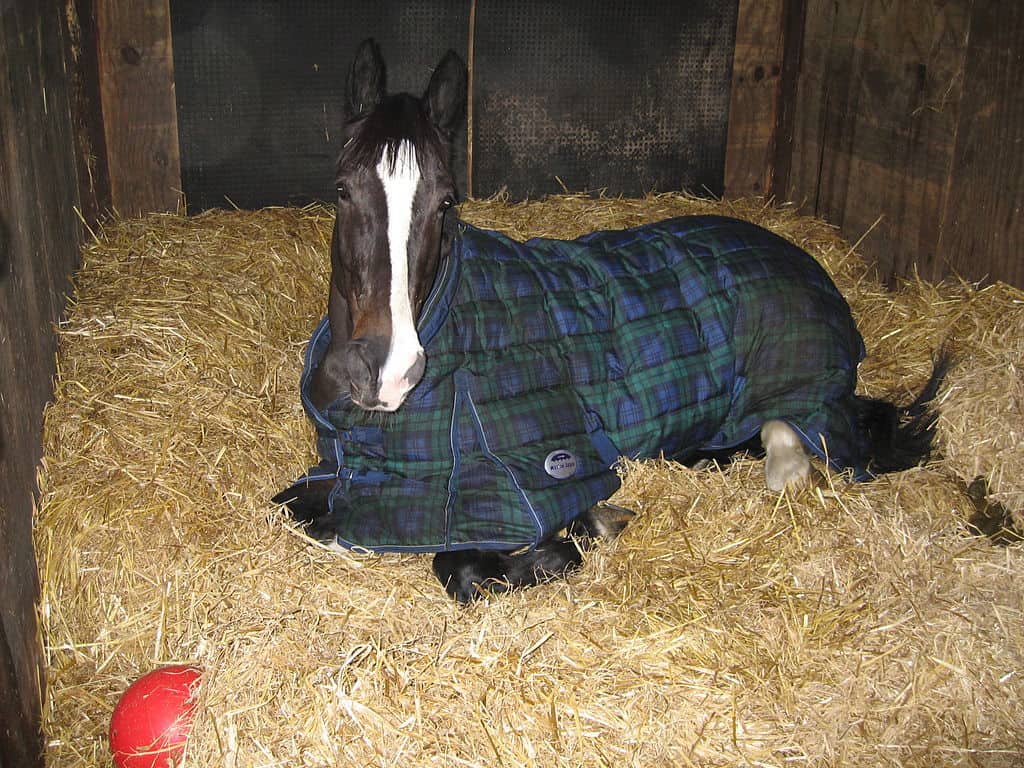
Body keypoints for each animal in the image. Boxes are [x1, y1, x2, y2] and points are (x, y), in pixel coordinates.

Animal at [273, 39, 948, 603]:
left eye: (446, 202)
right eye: (342, 190)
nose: (385, 372)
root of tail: (804, 259)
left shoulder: (529, 483)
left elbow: (461, 567)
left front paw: (583, 531)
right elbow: (291, 507)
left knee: (803, 433)